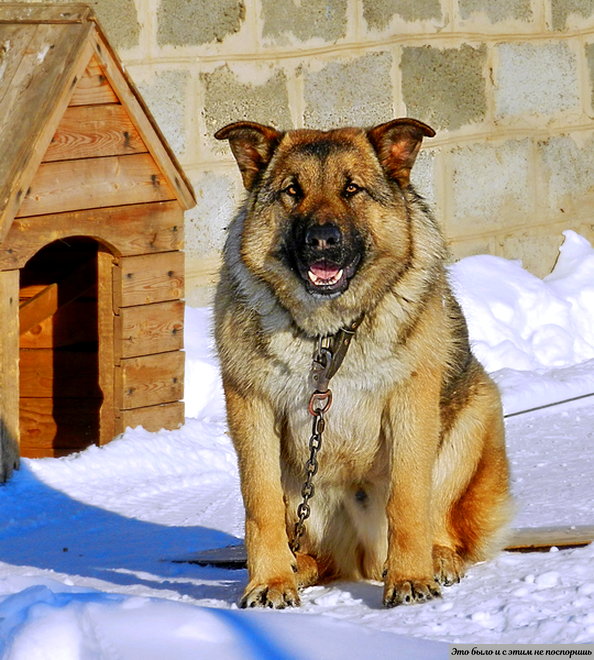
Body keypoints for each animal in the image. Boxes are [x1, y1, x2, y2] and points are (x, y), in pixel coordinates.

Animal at [212, 118, 508, 608]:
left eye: (351, 189)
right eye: (292, 191)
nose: (322, 240)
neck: (329, 332)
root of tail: (363, 557)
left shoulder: (410, 403)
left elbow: (408, 501)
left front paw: (410, 578)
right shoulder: (250, 408)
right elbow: (261, 506)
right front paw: (269, 580)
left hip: (476, 411)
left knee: (444, 524)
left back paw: (436, 559)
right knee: (312, 549)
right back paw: (298, 566)